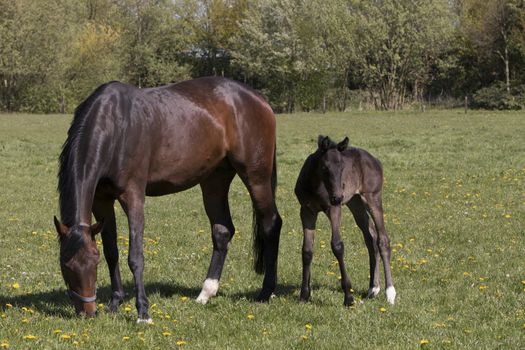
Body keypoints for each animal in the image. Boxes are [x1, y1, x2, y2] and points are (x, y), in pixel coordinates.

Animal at [53, 76, 282, 322]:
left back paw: (266, 291)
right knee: (222, 231)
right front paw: (115, 302)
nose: (87, 313)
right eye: (65, 264)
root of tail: (258, 98)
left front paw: (143, 312)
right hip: (215, 180)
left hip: (256, 177)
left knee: (271, 224)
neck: (114, 125)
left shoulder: (133, 195)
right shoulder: (101, 199)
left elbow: (135, 256)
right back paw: (206, 293)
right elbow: (111, 252)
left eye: (93, 262)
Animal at [294, 135, 392, 304]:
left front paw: (348, 297)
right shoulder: (307, 211)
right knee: (371, 237)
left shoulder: (334, 209)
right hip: (355, 202)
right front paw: (304, 295)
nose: (338, 197)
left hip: (372, 198)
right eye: (324, 167)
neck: (316, 186)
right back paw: (373, 288)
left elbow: (337, 246)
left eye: (342, 167)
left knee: (383, 239)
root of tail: (375, 160)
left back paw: (390, 293)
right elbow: (306, 250)